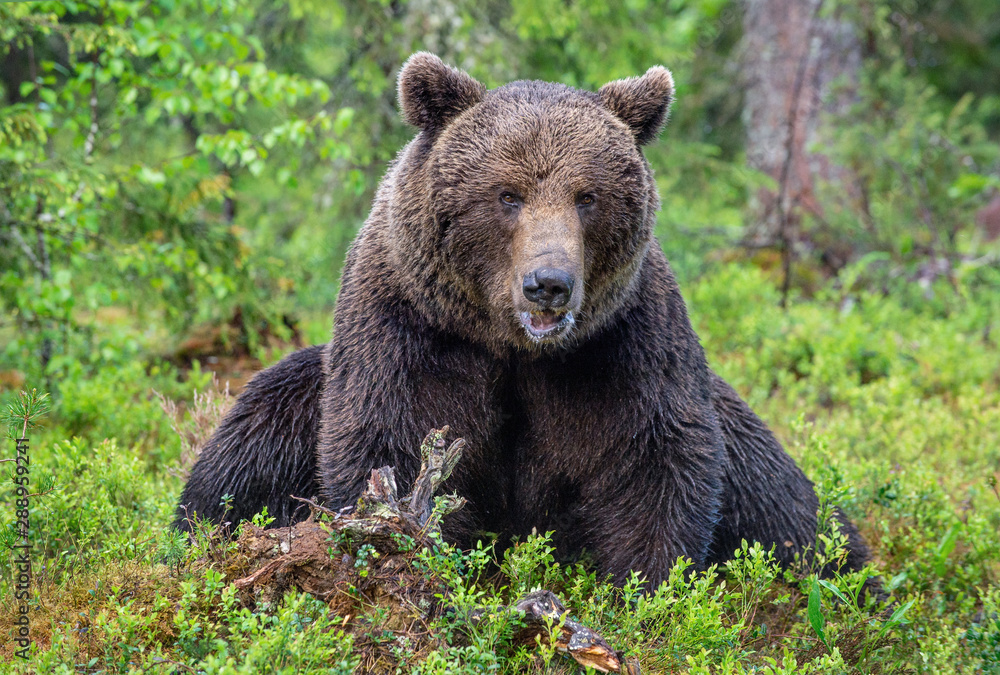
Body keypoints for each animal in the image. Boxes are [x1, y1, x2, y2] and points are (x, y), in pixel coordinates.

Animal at [176, 52, 872, 588]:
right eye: (506, 194)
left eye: (587, 197)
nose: (549, 285)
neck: (512, 348)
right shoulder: (410, 332)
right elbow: (394, 448)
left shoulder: (620, 349)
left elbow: (654, 464)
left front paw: (643, 591)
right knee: (241, 461)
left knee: (796, 519)